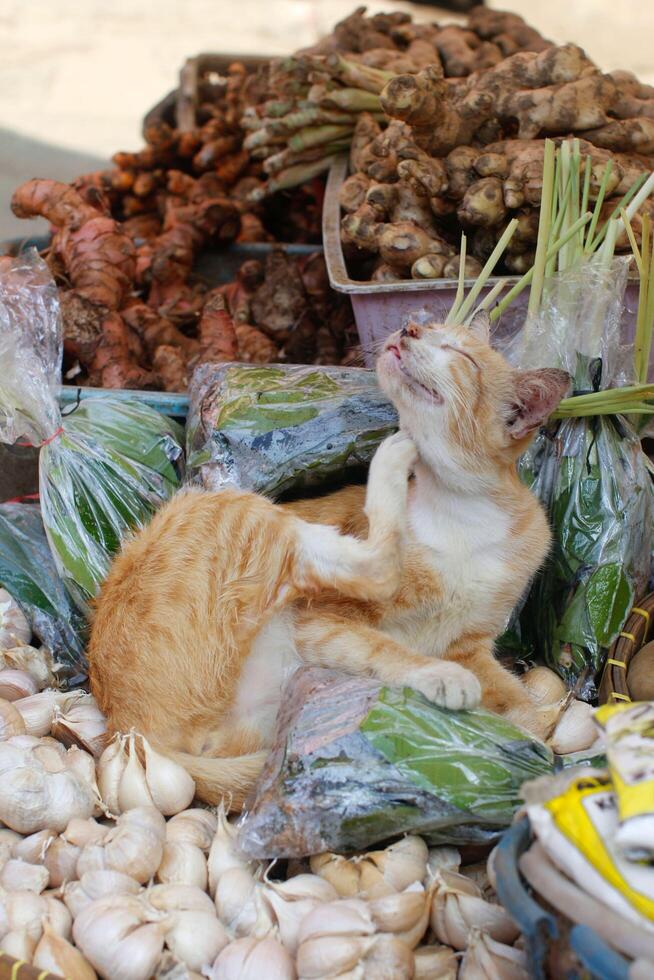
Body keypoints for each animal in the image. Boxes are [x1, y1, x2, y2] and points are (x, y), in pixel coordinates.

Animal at [89, 312, 572, 804]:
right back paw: (392, 456)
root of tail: (127, 732)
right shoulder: (322, 620)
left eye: (461, 354)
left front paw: (533, 742)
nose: (409, 328)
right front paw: (442, 677)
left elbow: (520, 703)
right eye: (428, 326)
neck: (459, 514)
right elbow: (386, 648)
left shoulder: (471, 646)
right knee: (376, 563)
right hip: (233, 507)